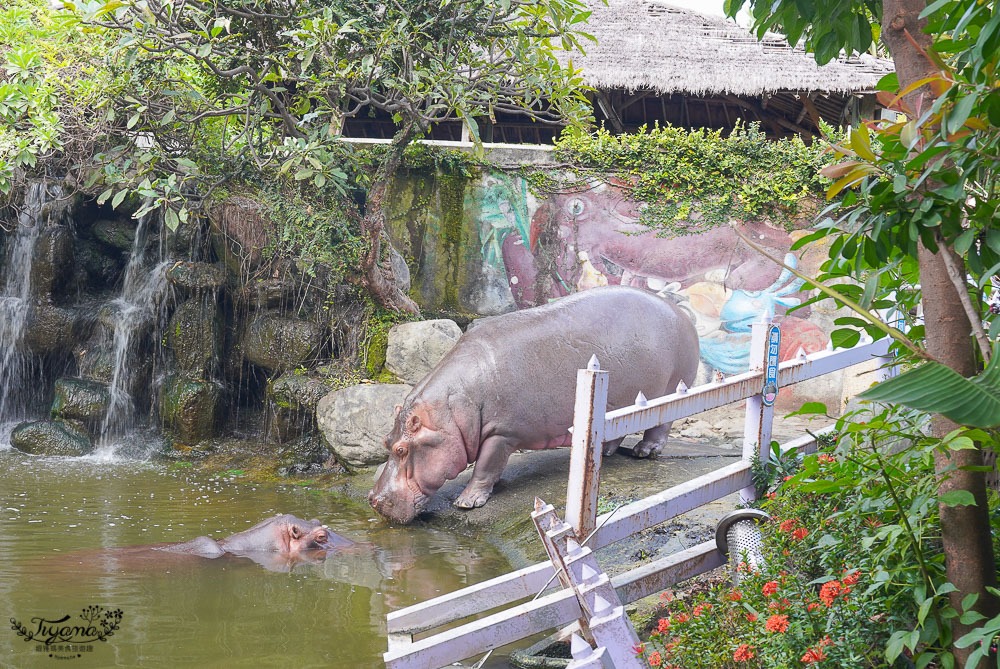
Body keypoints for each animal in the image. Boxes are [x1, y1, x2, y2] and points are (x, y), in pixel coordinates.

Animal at [366, 286, 696, 520]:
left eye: (401, 449)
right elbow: (491, 468)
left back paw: (644, 452)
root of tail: (680, 311)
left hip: (671, 388)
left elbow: (485, 466)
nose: (373, 500)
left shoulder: (501, 434)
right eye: (385, 441)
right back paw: (607, 452)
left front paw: (466, 502)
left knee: (661, 424)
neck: (450, 412)